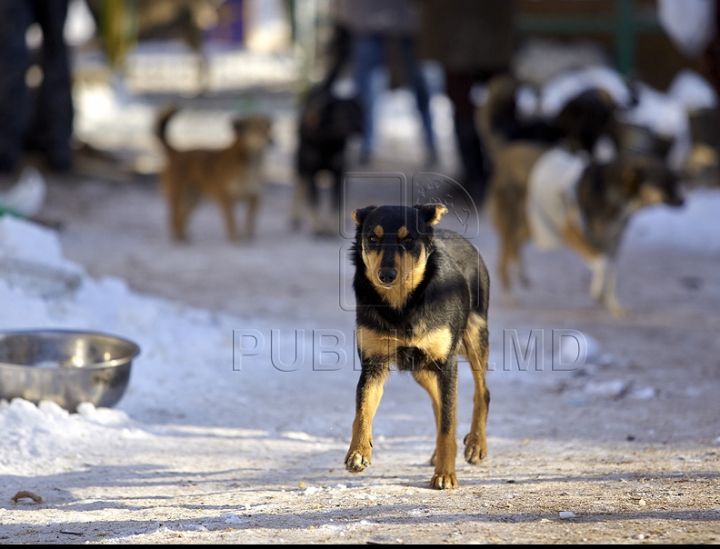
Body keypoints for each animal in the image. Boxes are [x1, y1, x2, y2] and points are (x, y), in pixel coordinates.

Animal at [155, 105, 272, 242]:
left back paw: (184, 237)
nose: (271, 140)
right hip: (179, 196)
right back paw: (178, 240)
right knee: (173, 217)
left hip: (194, 199)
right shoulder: (227, 198)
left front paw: (248, 237)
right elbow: (232, 222)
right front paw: (235, 240)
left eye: (268, 129)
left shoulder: (254, 197)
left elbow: (250, 221)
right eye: (256, 130)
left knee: (182, 217)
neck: (250, 163)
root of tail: (176, 152)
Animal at [346, 202, 492, 488]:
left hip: (474, 337)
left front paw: (445, 475)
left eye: (408, 240)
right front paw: (358, 452)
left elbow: (447, 424)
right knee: (439, 402)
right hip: (421, 369)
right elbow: (363, 410)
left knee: (482, 392)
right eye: (373, 239)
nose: (386, 275)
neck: (401, 306)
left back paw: (476, 445)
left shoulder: (447, 363)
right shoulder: (373, 364)